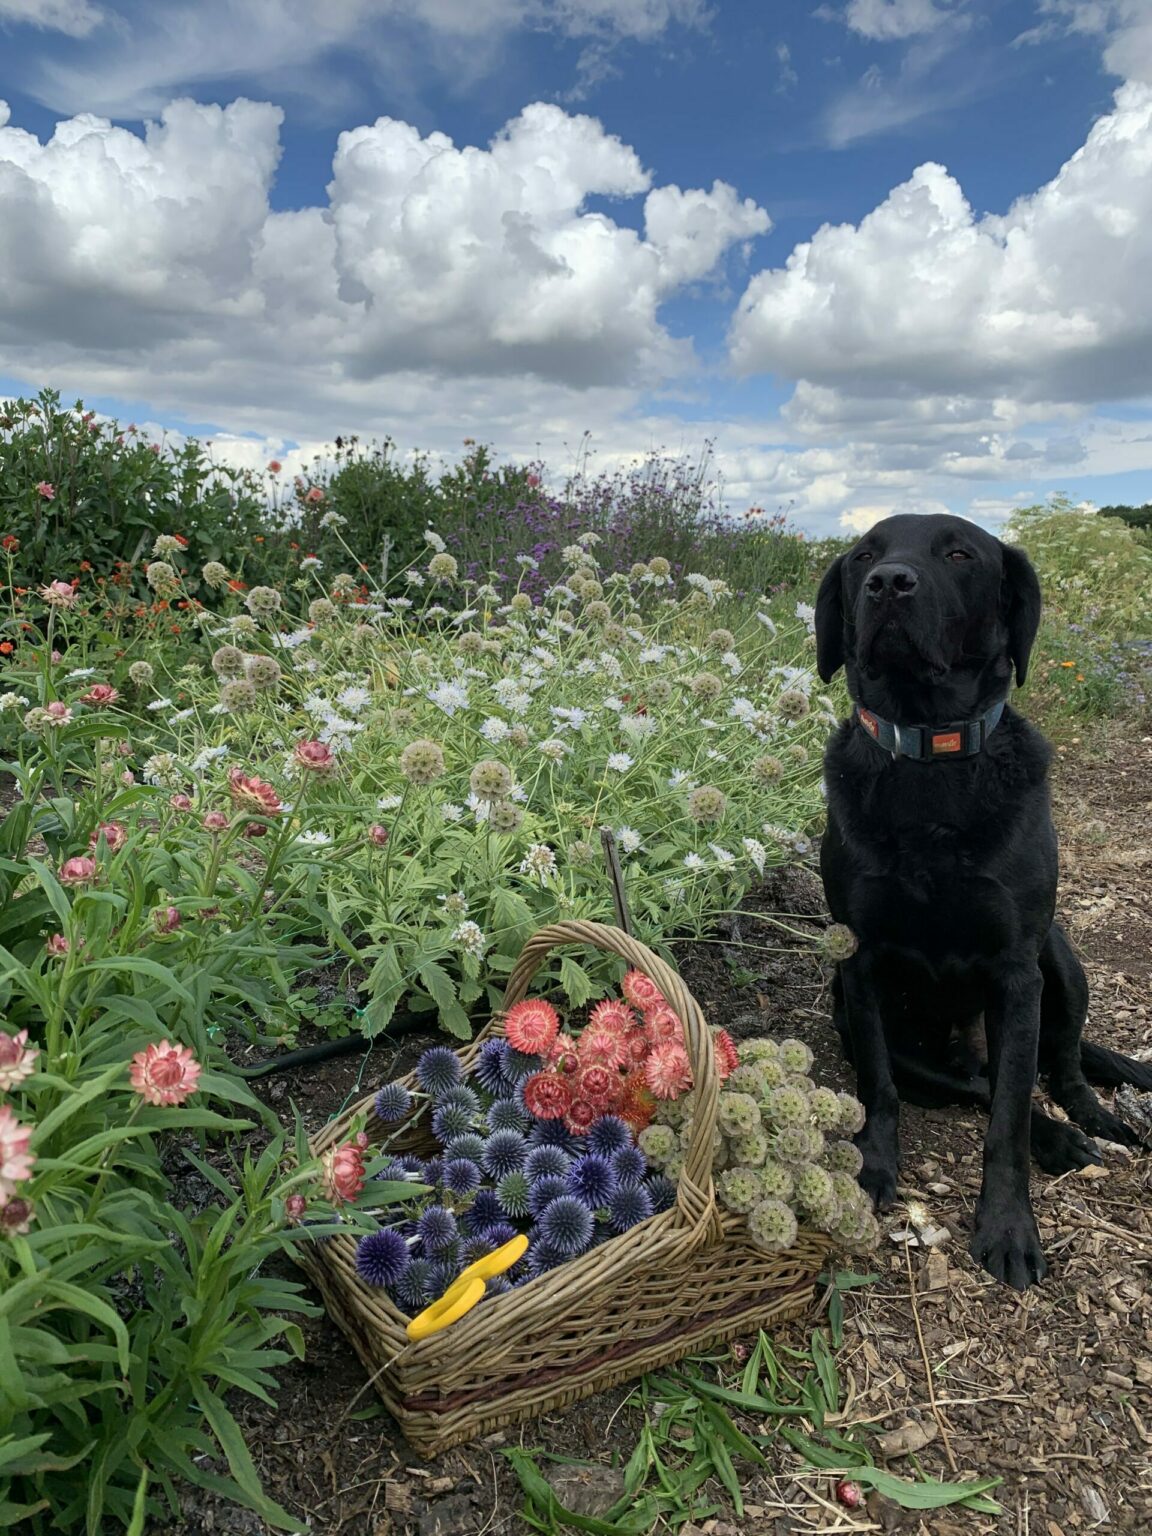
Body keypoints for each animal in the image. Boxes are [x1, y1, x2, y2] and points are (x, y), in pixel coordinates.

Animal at [814, 512, 1150, 1290]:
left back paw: (1090, 1121)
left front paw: (1008, 1228)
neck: (928, 754)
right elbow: (880, 1088)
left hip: (1061, 961)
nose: (888, 583)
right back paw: (1057, 1137)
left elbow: (1006, 1123)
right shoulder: (860, 968)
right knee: (980, 1081)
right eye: (864, 557)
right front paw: (872, 1169)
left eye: (961, 553)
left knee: (1052, 1067)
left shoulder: (1017, 973)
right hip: (891, 1033)